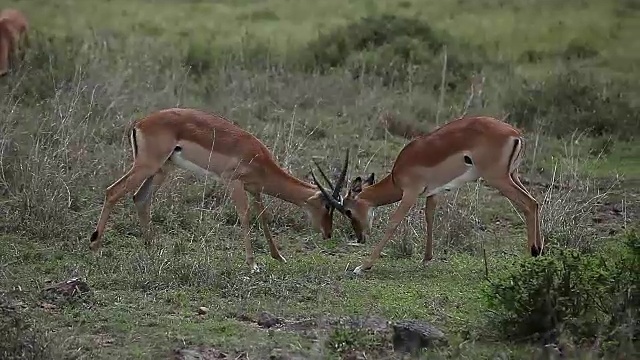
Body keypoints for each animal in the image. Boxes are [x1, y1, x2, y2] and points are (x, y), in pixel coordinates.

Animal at [87, 108, 348, 272]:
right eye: (328, 206)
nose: (328, 233)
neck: (259, 159)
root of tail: (139, 123)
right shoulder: (234, 182)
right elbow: (245, 216)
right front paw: (252, 264)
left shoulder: (255, 189)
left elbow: (264, 218)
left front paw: (278, 256)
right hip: (147, 166)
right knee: (113, 191)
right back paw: (95, 247)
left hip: (162, 169)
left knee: (140, 198)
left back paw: (151, 249)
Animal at [312, 115, 544, 276]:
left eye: (348, 211)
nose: (360, 237)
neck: (397, 175)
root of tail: (515, 134)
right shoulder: (433, 193)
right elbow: (429, 217)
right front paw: (426, 258)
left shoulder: (410, 193)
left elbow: (393, 222)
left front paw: (363, 266)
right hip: (513, 176)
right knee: (535, 203)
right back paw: (539, 251)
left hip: (498, 179)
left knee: (528, 204)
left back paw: (530, 254)